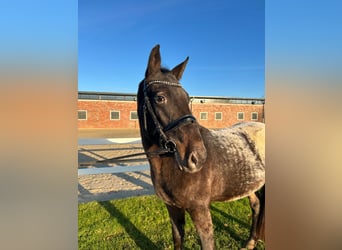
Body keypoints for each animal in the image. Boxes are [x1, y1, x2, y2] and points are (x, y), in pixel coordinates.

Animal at [136, 45, 264, 250]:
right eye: (160, 98)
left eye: (187, 97)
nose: (197, 157)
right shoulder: (173, 209)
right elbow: (178, 240)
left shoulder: (200, 211)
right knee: (257, 205)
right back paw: (250, 242)